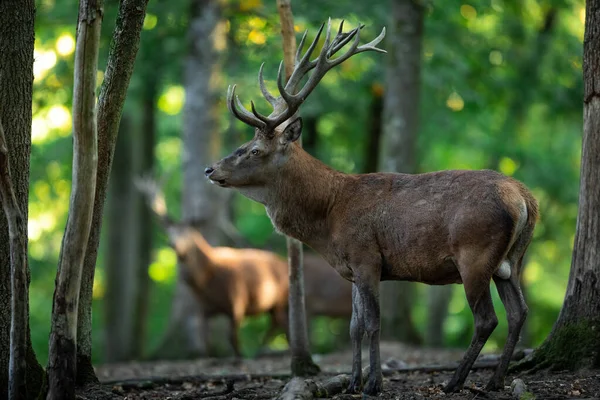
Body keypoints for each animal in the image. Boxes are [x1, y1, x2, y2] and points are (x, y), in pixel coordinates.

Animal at [206, 18, 540, 394]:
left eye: (254, 150)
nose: (210, 169)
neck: (328, 217)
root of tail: (524, 198)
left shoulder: (367, 256)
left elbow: (372, 324)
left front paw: (373, 384)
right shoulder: (351, 267)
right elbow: (354, 326)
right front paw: (352, 381)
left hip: (475, 253)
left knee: (487, 318)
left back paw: (455, 381)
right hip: (511, 260)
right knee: (519, 312)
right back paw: (495, 380)